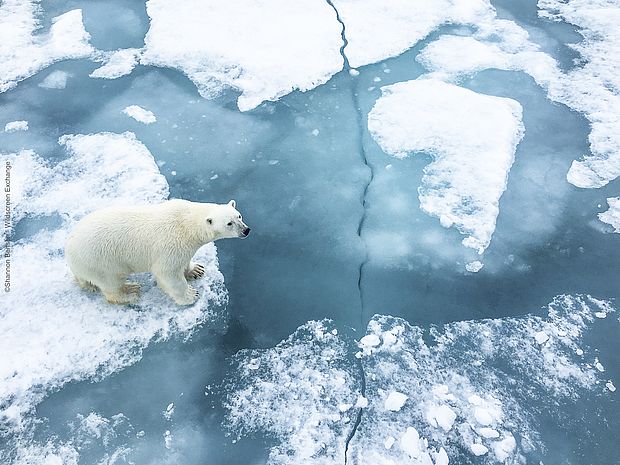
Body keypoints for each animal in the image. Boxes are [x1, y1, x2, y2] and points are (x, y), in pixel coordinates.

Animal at [66, 198, 251, 304]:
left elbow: (184, 262)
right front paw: (191, 295)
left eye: (239, 215)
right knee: (111, 283)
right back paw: (130, 291)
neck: (187, 223)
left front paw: (196, 270)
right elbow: (168, 274)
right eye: (229, 223)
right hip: (100, 260)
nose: (246, 230)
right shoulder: (170, 246)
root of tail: (68, 251)